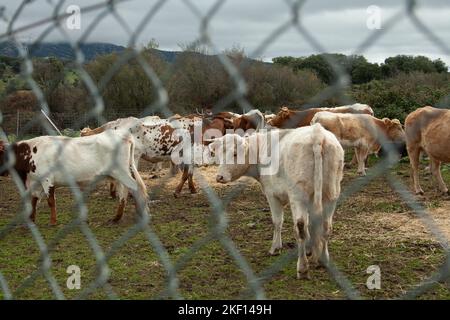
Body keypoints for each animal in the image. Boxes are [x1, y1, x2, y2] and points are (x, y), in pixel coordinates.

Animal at [0, 130, 149, 225]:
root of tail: (124, 136)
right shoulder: (35, 183)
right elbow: (34, 201)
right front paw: (31, 219)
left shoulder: (47, 180)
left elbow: (50, 201)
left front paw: (53, 222)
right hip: (118, 175)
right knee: (124, 194)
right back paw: (116, 218)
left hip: (121, 172)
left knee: (135, 188)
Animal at [211, 124, 344, 278]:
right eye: (217, 155)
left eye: (234, 154)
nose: (219, 177)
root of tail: (318, 133)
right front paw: (311, 250)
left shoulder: (272, 195)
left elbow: (277, 222)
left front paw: (275, 247)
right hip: (331, 193)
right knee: (326, 227)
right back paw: (324, 259)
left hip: (298, 196)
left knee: (300, 228)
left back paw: (302, 267)